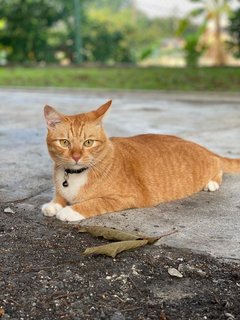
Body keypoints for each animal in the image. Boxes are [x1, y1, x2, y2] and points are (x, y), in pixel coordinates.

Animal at [42, 101, 240, 221]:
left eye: (88, 143)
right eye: (64, 142)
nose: (76, 157)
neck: (75, 174)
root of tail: (200, 146)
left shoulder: (126, 197)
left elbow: (93, 203)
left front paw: (69, 211)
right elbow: (59, 196)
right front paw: (54, 205)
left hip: (210, 164)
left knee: (219, 166)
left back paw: (212, 183)